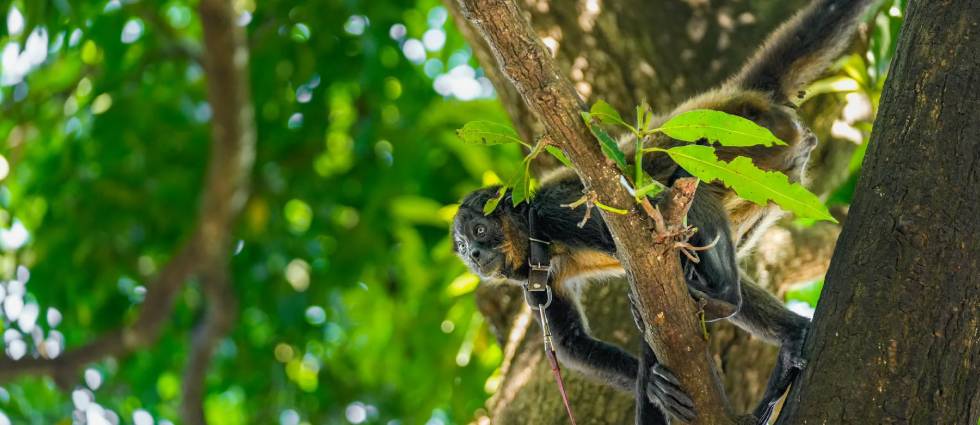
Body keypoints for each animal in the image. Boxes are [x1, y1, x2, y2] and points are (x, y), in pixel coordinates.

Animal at [452, 0, 873, 423]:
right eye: (463, 247)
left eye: (479, 231)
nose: (475, 255)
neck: (536, 237)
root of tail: (741, 99)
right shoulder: (534, 280)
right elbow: (573, 343)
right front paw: (655, 385)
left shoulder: (556, 212)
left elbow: (639, 252)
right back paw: (790, 339)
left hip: (749, 144)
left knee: (685, 190)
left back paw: (724, 297)